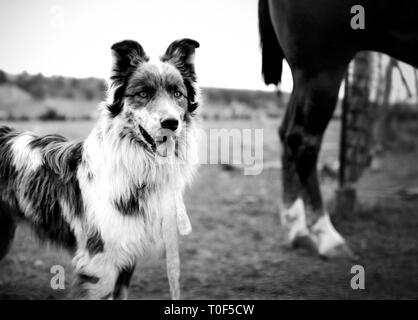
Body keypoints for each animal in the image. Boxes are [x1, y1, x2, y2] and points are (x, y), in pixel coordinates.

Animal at [0, 38, 201, 298]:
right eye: (143, 93)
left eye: (178, 93)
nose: (171, 123)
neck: (136, 168)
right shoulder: (100, 262)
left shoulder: (127, 257)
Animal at [258, 0, 418, 258]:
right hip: (322, 70)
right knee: (302, 140)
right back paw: (326, 233)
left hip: (305, 76)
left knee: (286, 132)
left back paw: (298, 227)